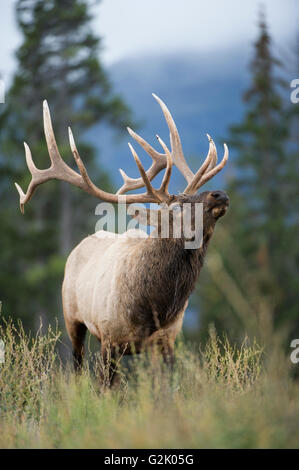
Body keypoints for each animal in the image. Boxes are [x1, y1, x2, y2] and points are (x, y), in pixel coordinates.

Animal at [15, 94, 230, 386]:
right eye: (176, 208)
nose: (219, 194)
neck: (154, 308)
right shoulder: (109, 339)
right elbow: (105, 389)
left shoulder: (166, 341)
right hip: (72, 318)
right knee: (78, 367)